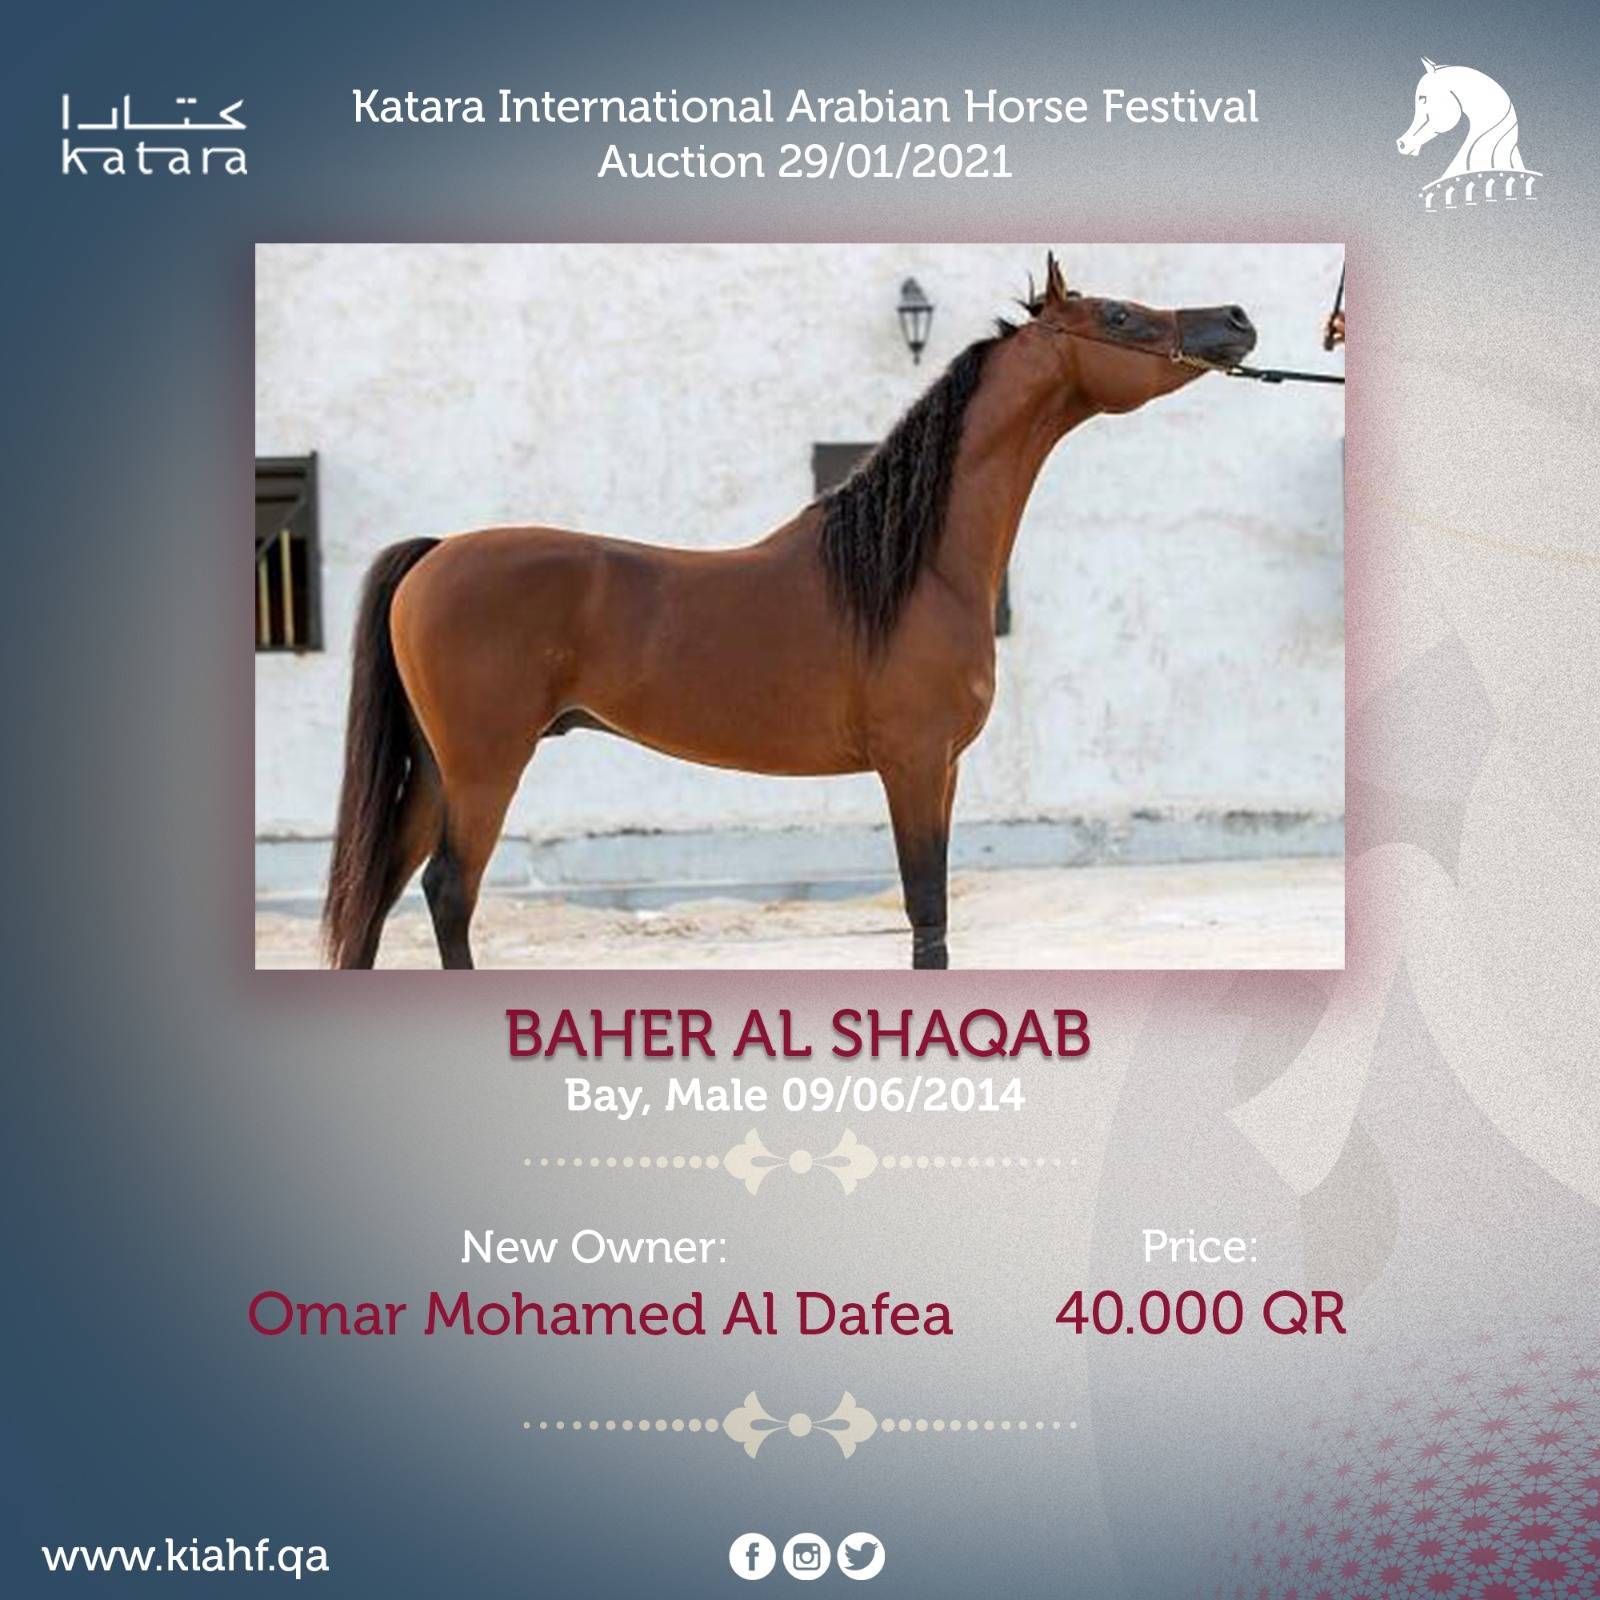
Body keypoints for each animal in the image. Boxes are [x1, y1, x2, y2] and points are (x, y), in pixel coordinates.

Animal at [322, 254, 1256, 970]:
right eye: (1119, 314)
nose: (1237, 319)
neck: (912, 568)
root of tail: (438, 551)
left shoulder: (945, 769)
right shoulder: (913, 764)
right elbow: (926, 914)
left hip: (433, 767)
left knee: (380, 890)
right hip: (483, 765)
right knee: (449, 890)